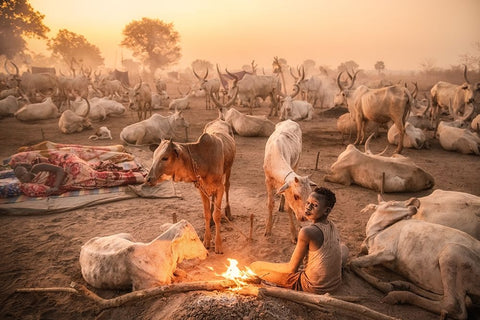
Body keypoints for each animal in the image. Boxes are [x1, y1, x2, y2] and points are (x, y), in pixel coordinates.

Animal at [79, 220, 208, 290]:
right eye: (193, 238)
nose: (206, 253)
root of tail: (84, 245)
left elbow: (182, 273)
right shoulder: (142, 287)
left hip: (128, 235)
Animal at [146, 116, 236, 254]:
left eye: (165, 158)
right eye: (154, 156)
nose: (148, 178)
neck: (203, 160)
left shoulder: (219, 188)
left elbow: (217, 215)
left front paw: (218, 245)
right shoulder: (201, 189)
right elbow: (207, 214)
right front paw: (206, 241)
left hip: (229, 170)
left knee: (227, 186)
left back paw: (228, 212)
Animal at [348, 195, 480, 318]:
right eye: (392, 203)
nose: (414, 202)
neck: (375, 233)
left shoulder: (387, 252)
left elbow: (352, 263)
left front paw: (385, 285)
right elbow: (354, 261)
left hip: (451, 252)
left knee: (454, 306)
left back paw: (398, 295)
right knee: (458, 299)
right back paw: (403, 285)